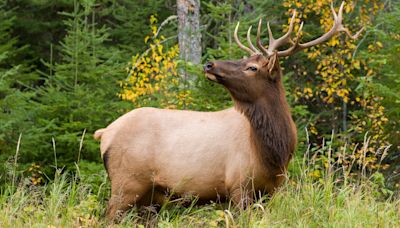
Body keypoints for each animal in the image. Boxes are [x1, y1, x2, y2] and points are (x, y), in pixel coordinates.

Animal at [94, 1, 362, 219]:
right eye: (246, 61)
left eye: (252, 67)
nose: (209, 64)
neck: (273, 153)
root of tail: (105, 132)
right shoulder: (238, 186)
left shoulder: (272, 190)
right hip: (126, 183)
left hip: (150, 196)